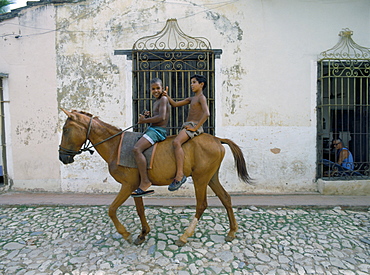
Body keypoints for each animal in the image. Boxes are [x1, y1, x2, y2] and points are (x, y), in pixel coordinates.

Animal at [59, 109, 250, 247]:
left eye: (65, 130)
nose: (63, 157)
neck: (116, 146)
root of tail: (217, 140)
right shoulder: (135, 187)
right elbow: (140, 210)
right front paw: (143, 233)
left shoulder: (127, 185)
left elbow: (112, 210)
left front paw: (126, 234)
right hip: (211, 177)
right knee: (225, 198)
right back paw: (232, 232)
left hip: (200, 178)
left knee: (201, 205)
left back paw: (184, 236)